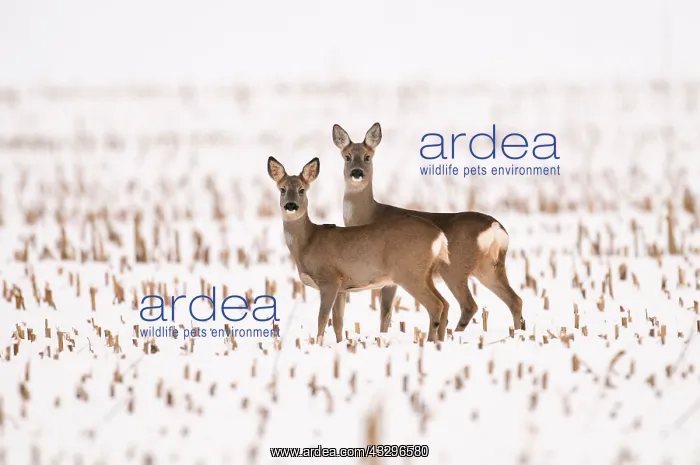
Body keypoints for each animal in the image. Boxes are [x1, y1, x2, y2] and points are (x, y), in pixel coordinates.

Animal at [267, 155, 451, 343]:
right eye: (282, 189)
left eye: (302, 190)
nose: (290, 205)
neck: (308, 243)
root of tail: (439, 234)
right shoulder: (342, 287)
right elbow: (338, 321)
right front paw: (340, 343)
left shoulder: (329, 279)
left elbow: (322, 318)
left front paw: (318, 344)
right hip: (424, 273)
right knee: (445, 303)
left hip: (409, 273)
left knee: (436, 305)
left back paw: (430, 342)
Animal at [331, 122, 524, 335]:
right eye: (347, 156)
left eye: (367, 156)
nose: (357, 173)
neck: (369, 215)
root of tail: (495, 228)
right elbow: (386, 314)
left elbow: (385, 312)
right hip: (490, 267)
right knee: (515, 300)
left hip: (455, 268)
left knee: (468, 305)